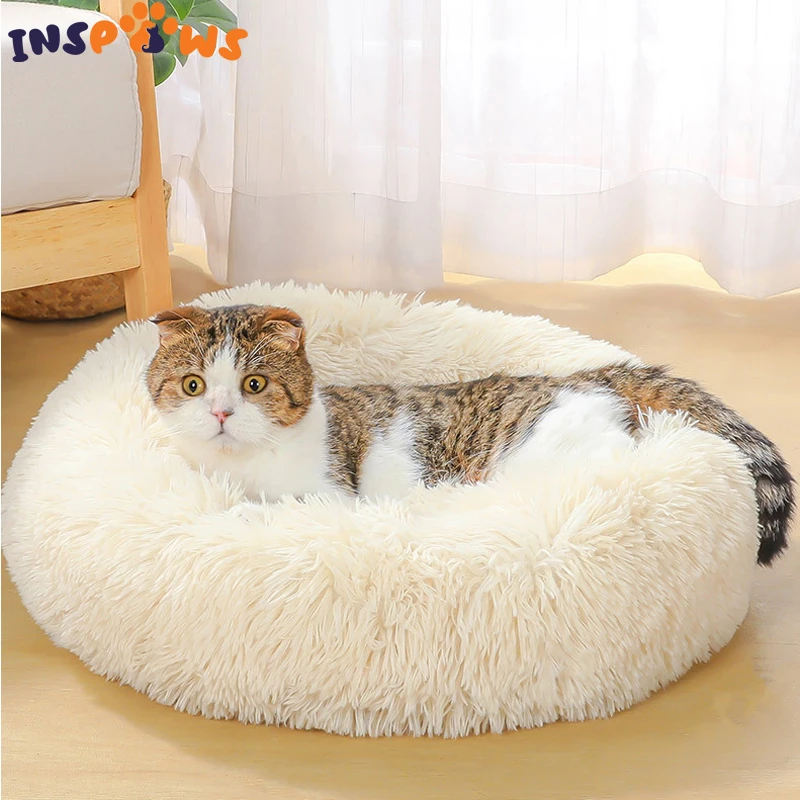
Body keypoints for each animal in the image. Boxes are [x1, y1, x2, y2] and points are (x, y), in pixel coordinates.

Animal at [146, 304, 794, 566]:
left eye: (254, 384)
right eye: (194, 385)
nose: (221, 413)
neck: (238, 465)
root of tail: (585, 374)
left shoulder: (332, 497)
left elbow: (283, 507)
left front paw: (241, 512)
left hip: (544, 456)